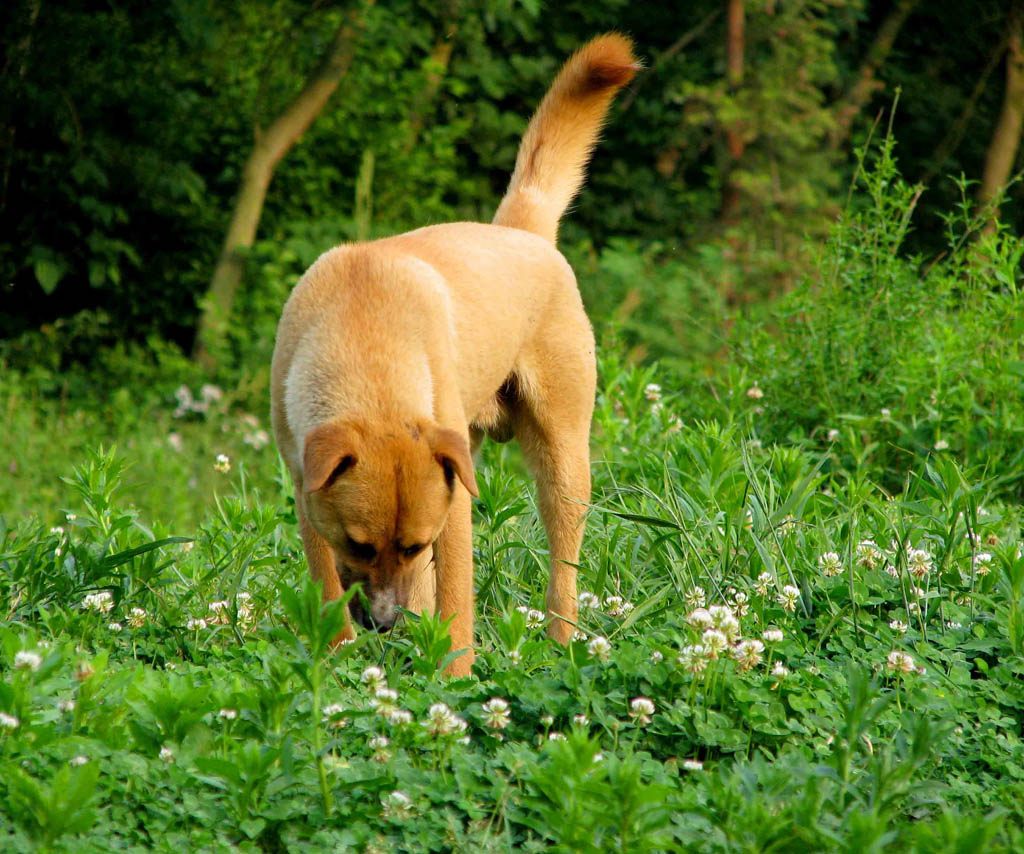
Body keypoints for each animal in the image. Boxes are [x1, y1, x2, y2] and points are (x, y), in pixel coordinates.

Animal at [274, 33, 638, 675]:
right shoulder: (308, 494)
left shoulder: (450, 513)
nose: (385, 624)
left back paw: (559, 645)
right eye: (357, 544)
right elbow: (328, 591)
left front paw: (455, 679)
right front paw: (337, 660)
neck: (364, 337)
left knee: (563, 574)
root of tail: (522, 230)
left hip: (562, 461)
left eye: (411, 543)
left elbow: (457, 604)